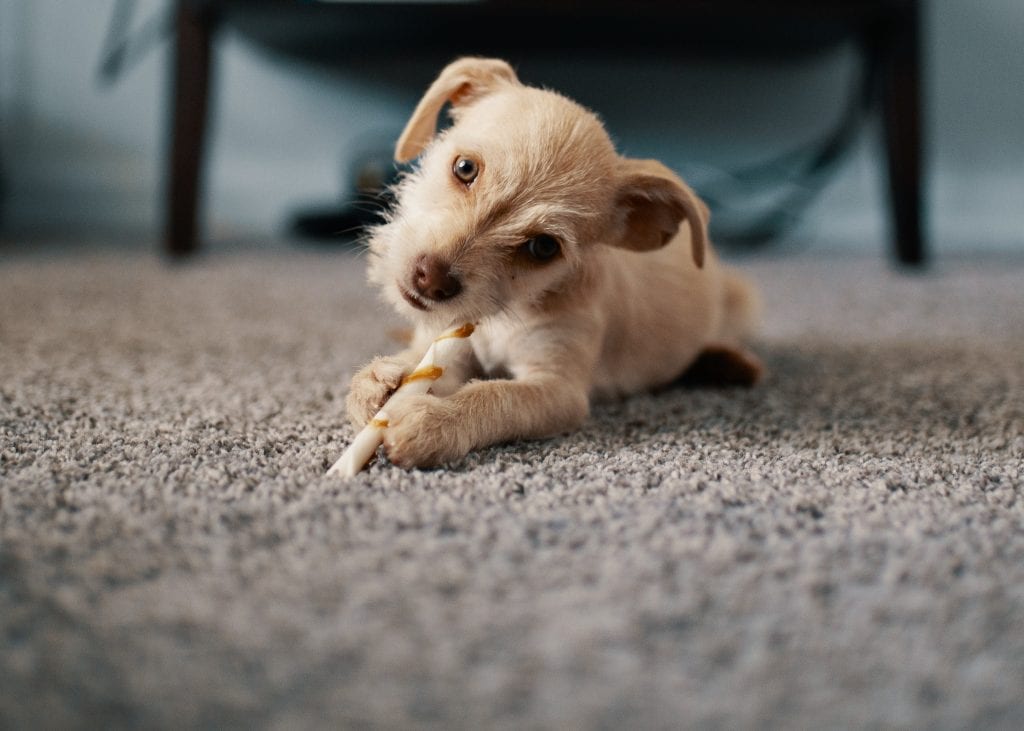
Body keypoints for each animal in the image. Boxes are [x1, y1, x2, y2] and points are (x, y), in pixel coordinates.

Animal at [348, 56, 757, 466]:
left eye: (543, 247)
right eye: (464, 168)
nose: (430, 280)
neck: (504, 315)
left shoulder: (558, 389)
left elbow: (496, 396)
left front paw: (434, 419)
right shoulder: (449, 345)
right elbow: (423, 363)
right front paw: (382, 380)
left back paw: (727, 362)